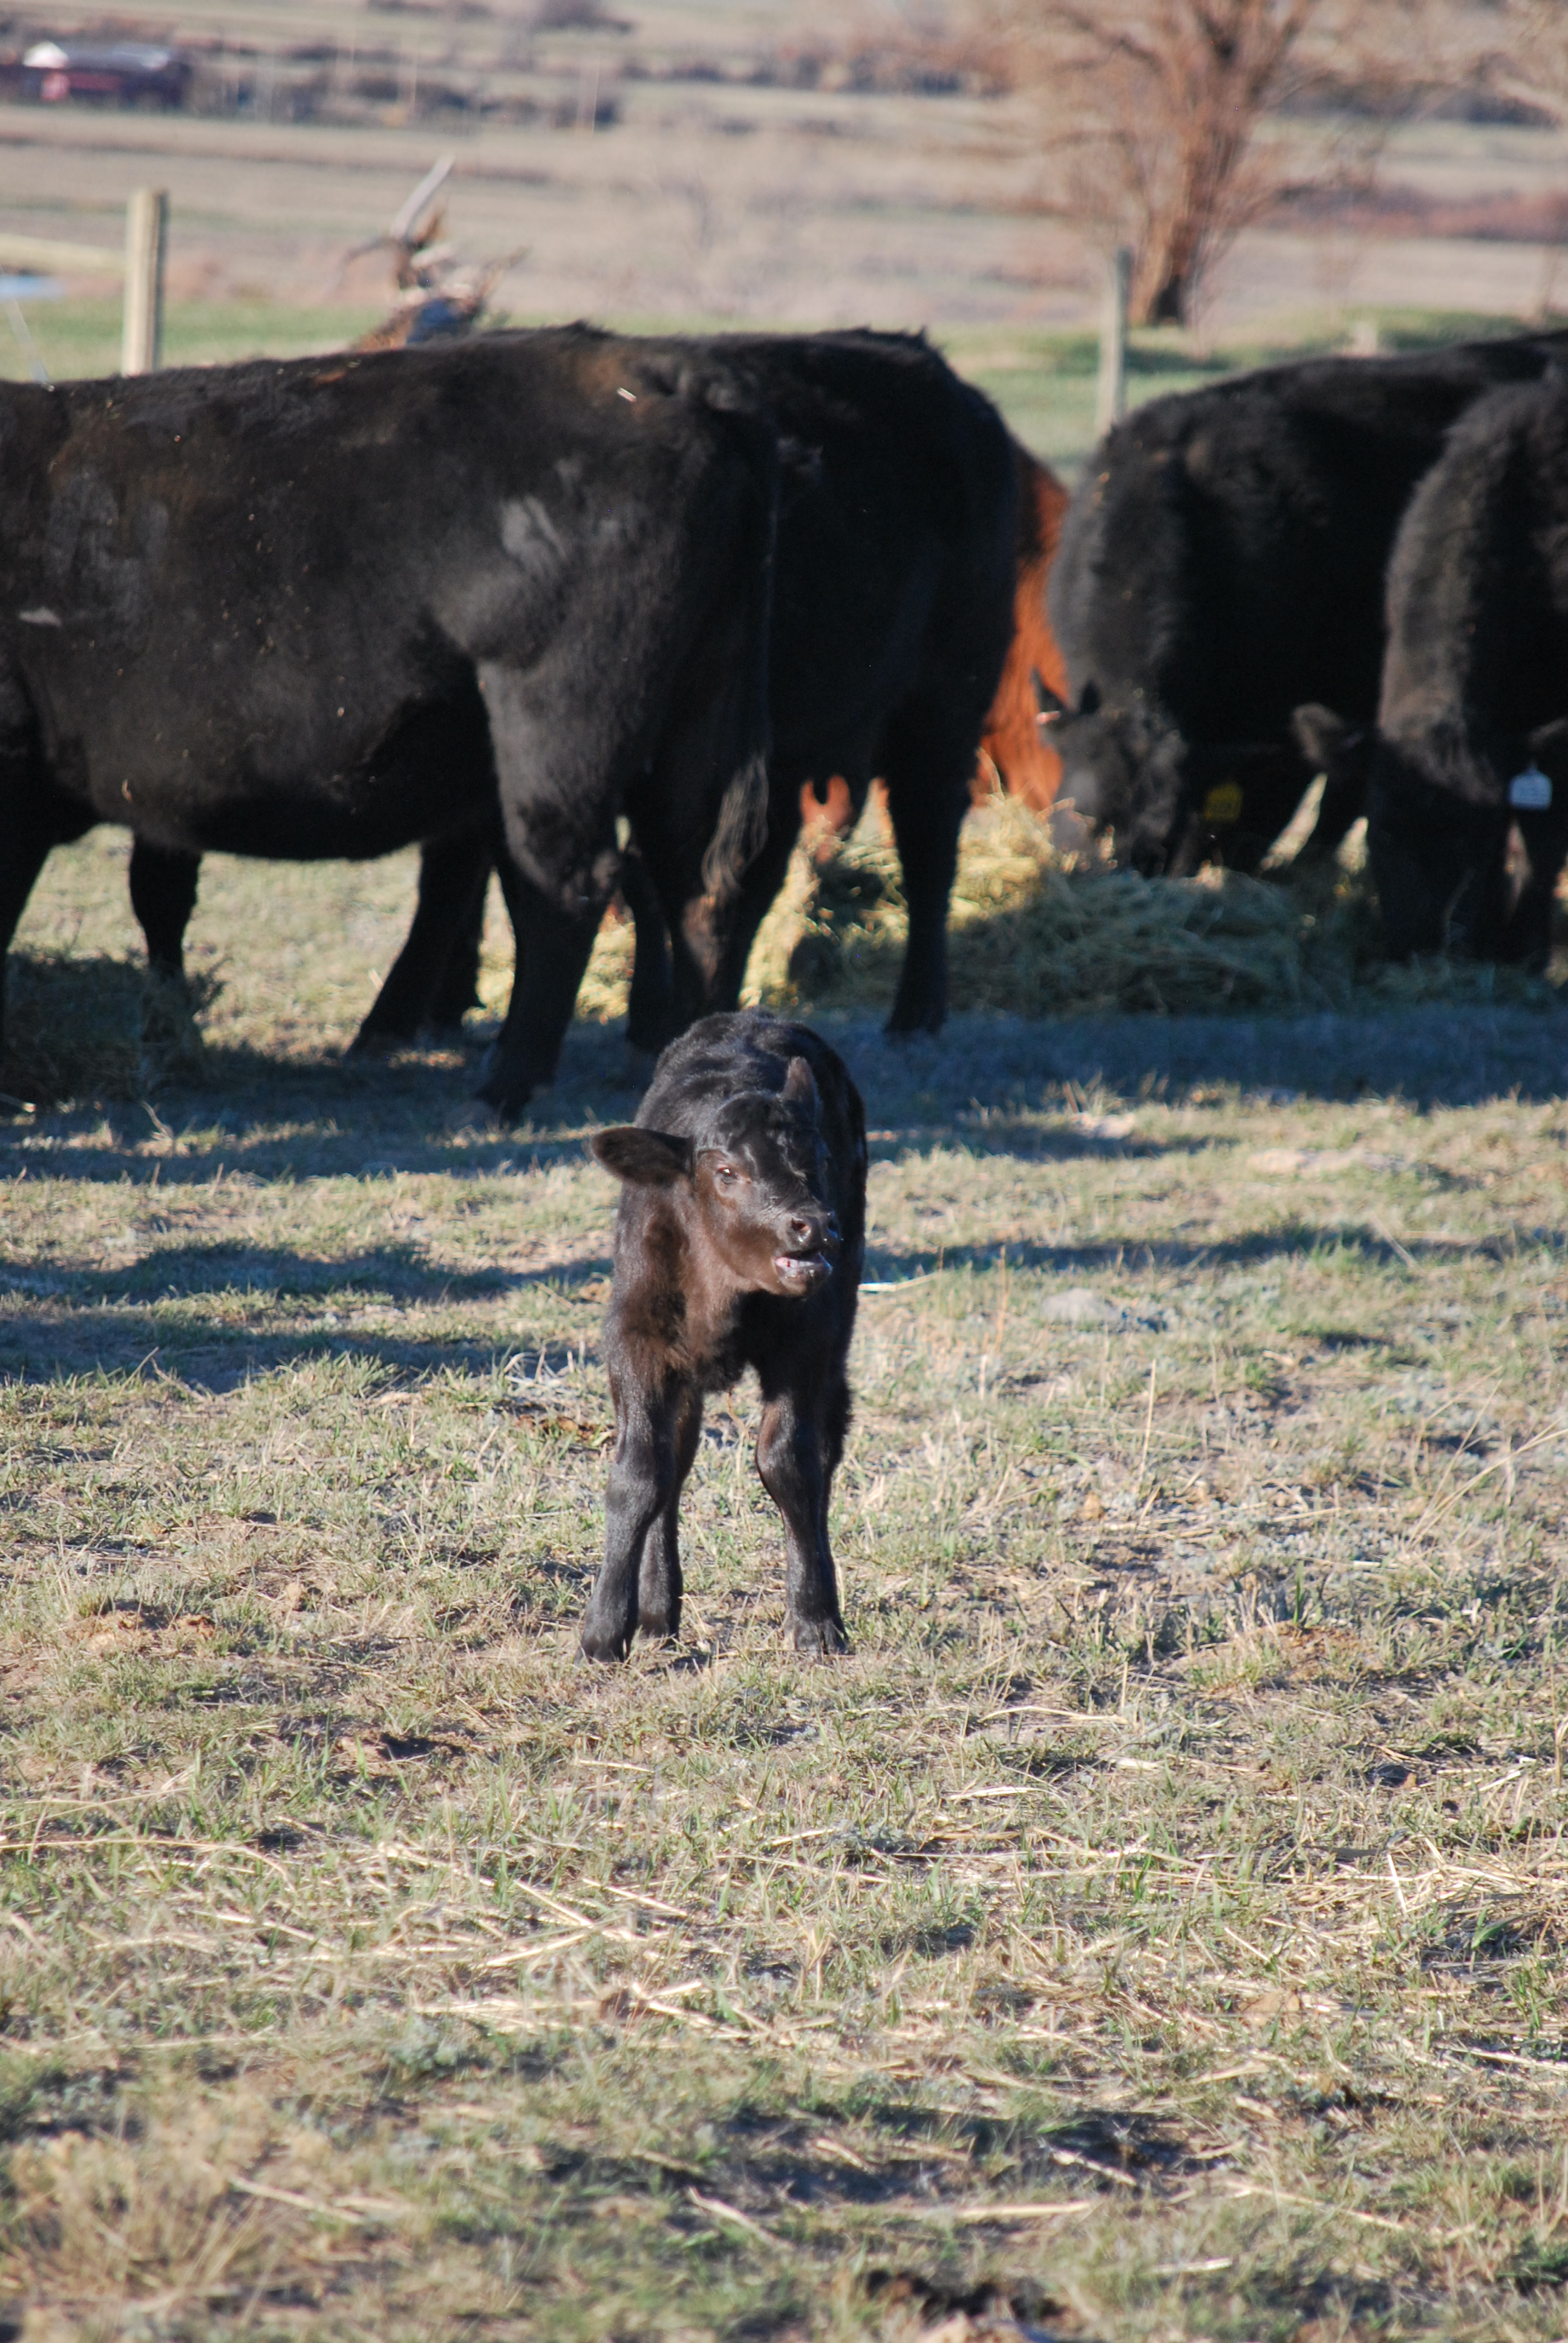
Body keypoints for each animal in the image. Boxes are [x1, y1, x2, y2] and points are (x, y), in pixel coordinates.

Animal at [0, 327, 776, 1121]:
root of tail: (647, 366)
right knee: (695, 882)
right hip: (695, 710)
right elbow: (158, 897)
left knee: (566, 888)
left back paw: (504, 1085)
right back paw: (694, 1059)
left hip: (555, 727)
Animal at [580, 1009, 865, 1662]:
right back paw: (658, 1614)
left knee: (827, 1444)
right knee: (677, 1456)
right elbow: (639, 1472)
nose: (813, 1225)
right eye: (727, 1173)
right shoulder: (636, 1337)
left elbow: (790, 1462)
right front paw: (604, 1630)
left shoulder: (808, 1339)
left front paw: (814, 1619)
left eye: (819, 1154)